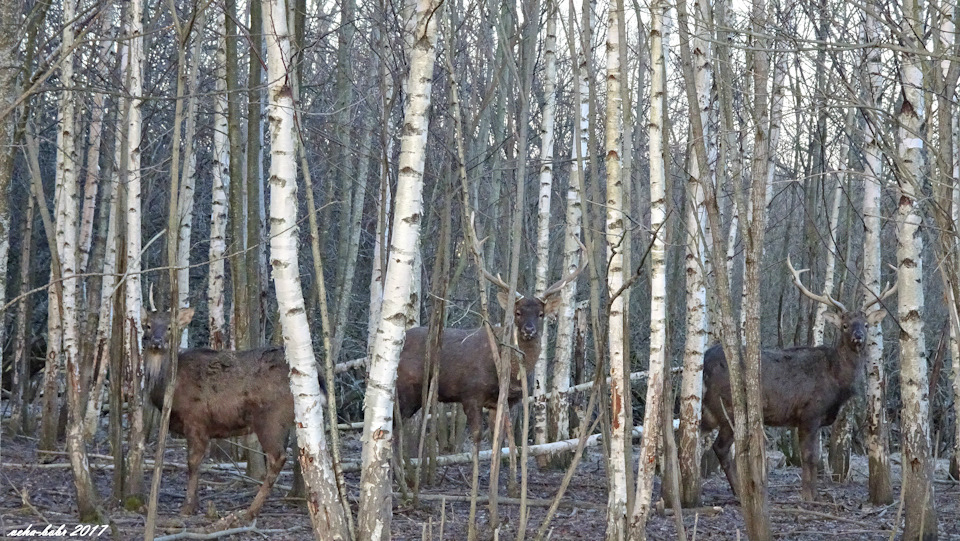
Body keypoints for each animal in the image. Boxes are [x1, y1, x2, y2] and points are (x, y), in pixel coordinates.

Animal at [142, 296, 322, 520]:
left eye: (169, 327)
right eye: (147, 325)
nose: (157, 342)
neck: (169, 388)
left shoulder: (196, 419)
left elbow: (193, 461)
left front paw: (187, 507)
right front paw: (196, 504)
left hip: (271, 418)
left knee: (278, 457)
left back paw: (251, 510)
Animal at [700, 255, 896, 500]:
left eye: (867, 324)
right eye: (844, 325)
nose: (858, 336)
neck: (836, 379)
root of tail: (705, 360)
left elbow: (815, 457)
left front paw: (815, 494)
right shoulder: (809, 413)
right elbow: (809, 456)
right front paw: (808, 496)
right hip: (728, 408)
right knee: (721, 447)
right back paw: (739, 492)